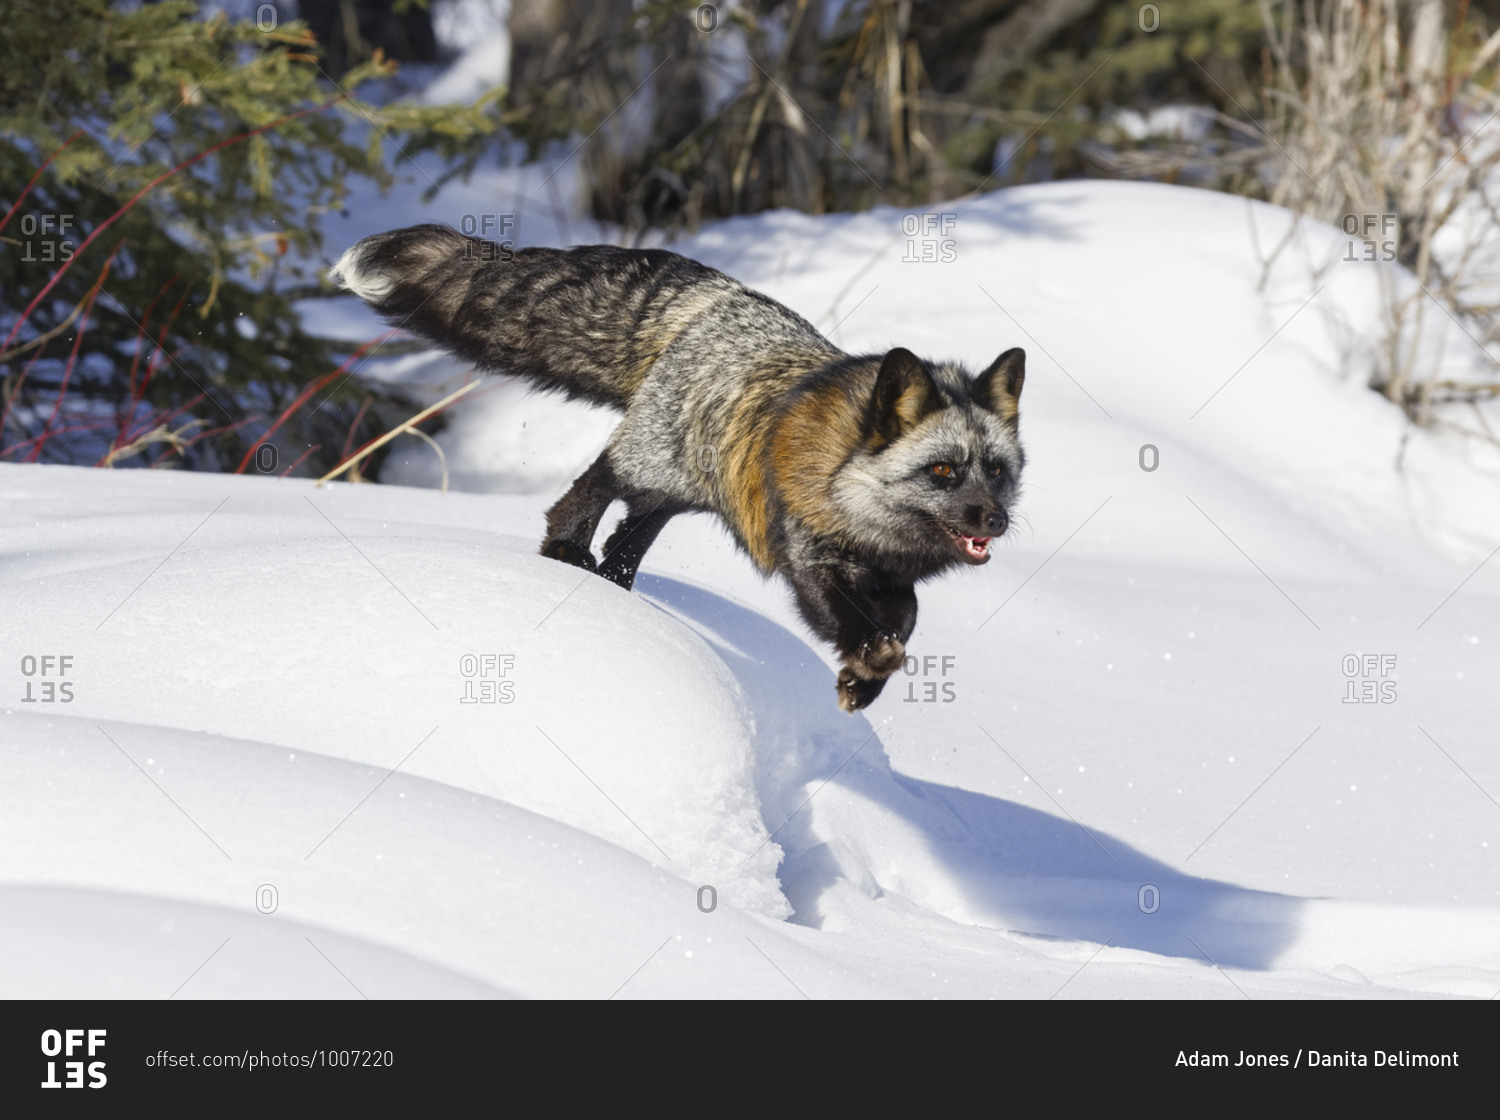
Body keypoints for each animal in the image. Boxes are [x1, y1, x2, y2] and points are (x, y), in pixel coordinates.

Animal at [330, 225, 1025, 712]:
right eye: (943, 472)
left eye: (996, 471)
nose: (994, 521)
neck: (856, 500)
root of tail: (722, 296)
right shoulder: (809, 557)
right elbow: (855, 625)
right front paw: (868, 665)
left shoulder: (893, 581)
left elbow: (906, 623)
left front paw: (866, 681)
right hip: (655, 464)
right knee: (594, 485)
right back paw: (565, 549)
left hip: (690, 488)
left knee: (630, 534)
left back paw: (609, 585)